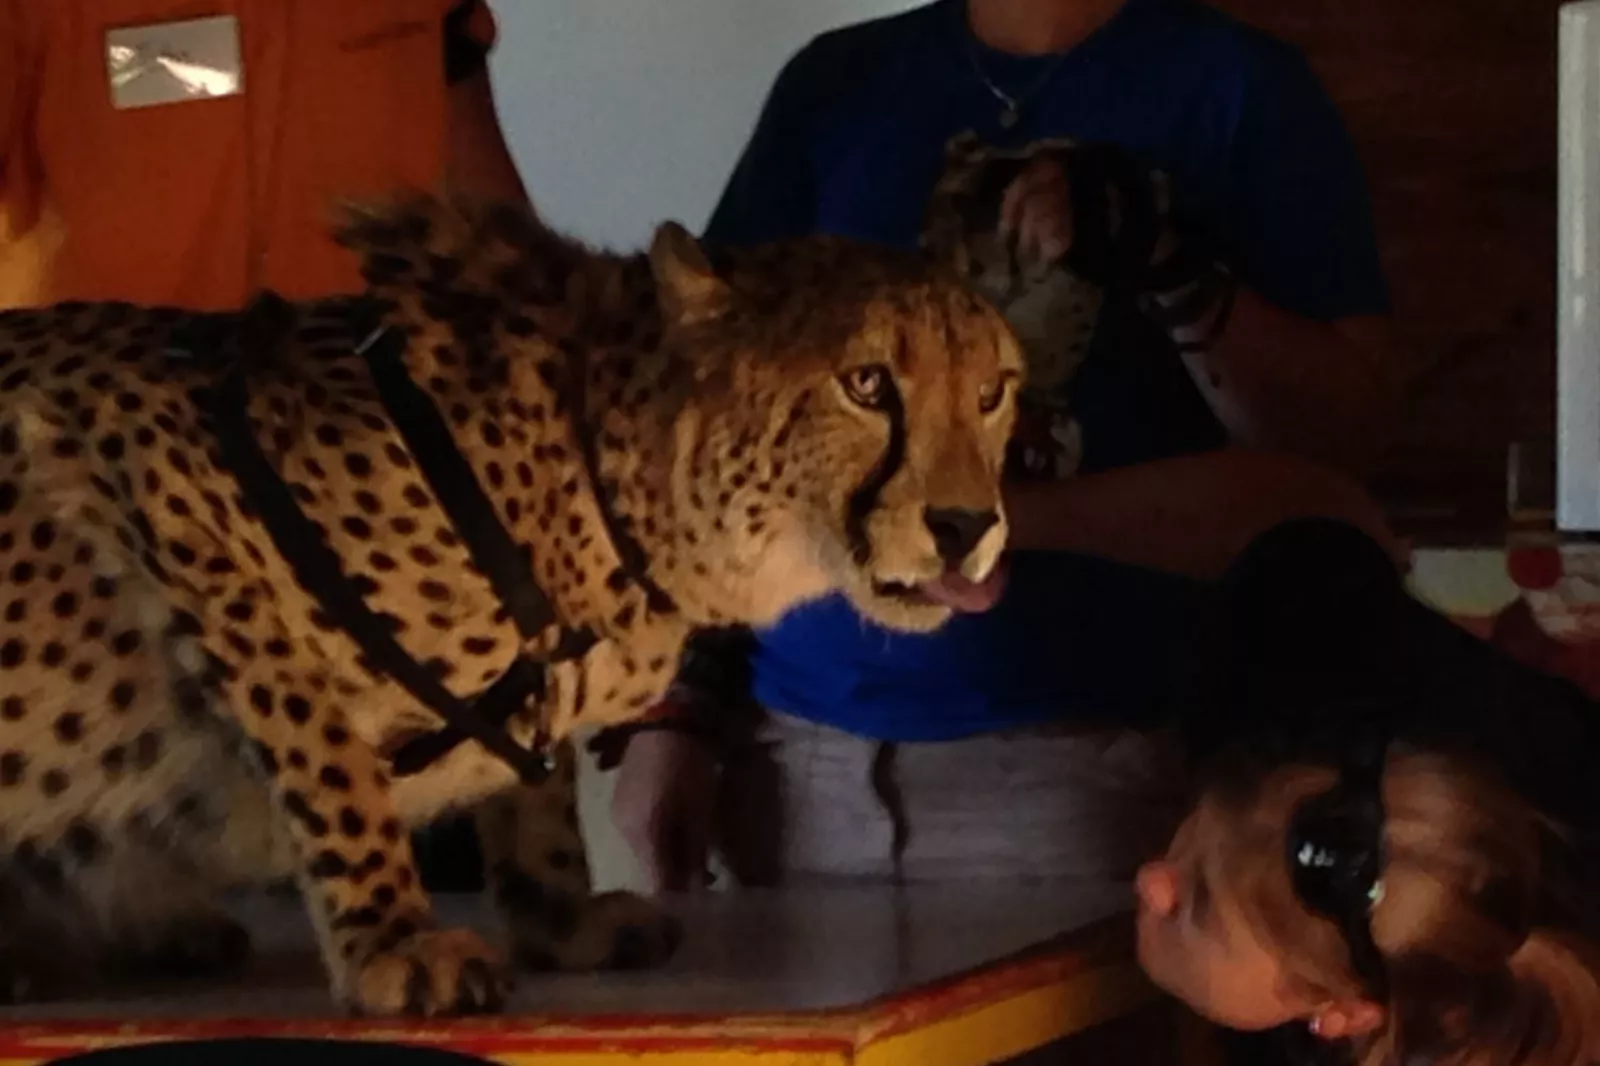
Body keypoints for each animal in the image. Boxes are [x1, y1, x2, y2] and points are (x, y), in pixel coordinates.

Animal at [0, 194, 1022, 1016]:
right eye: (867, 384)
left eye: (993, 391)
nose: (967, 525)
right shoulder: (155, 472)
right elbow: (327, 754)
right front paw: (393, 939)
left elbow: (538, 774)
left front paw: (560, 918)